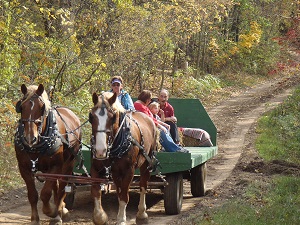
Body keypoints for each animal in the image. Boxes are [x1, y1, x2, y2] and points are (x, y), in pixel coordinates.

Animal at [14, 83, 81, 224]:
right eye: (21, 107)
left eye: (42, 108)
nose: (30, 138)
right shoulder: (24, 168)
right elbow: (33, 195)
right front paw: (35, 219)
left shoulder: (55, 167)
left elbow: (45, 194)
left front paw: (52, 212)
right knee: (56, 187)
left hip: (68, 164)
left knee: (62, 188)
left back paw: (60, 213)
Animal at [88, 91, 157, 225]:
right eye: (91, 116)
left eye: (113, 117)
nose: (100, 150)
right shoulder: (96, 167)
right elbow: (96, 191)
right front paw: (100, 217)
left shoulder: (128, 171)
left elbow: (124, 195)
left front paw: (121, 219)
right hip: (115, 172)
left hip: (147, 162)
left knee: (143, 185)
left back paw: (142, 214)